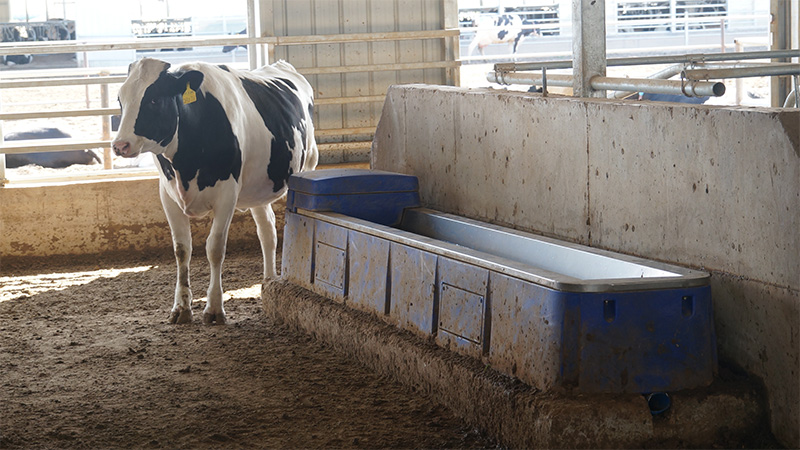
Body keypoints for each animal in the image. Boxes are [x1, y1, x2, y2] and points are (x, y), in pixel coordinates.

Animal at [112, 57, 318, 325]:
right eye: (121, 99)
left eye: (154, 99)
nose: (120, 145)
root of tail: (282, 65)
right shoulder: (167, 195)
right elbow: (182, 249)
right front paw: (181, 308)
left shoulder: (227, 194)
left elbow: (215, 248)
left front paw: (214, 308)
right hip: (258, 189)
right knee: (267, 231)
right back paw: (268, 281)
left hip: (309, 164)